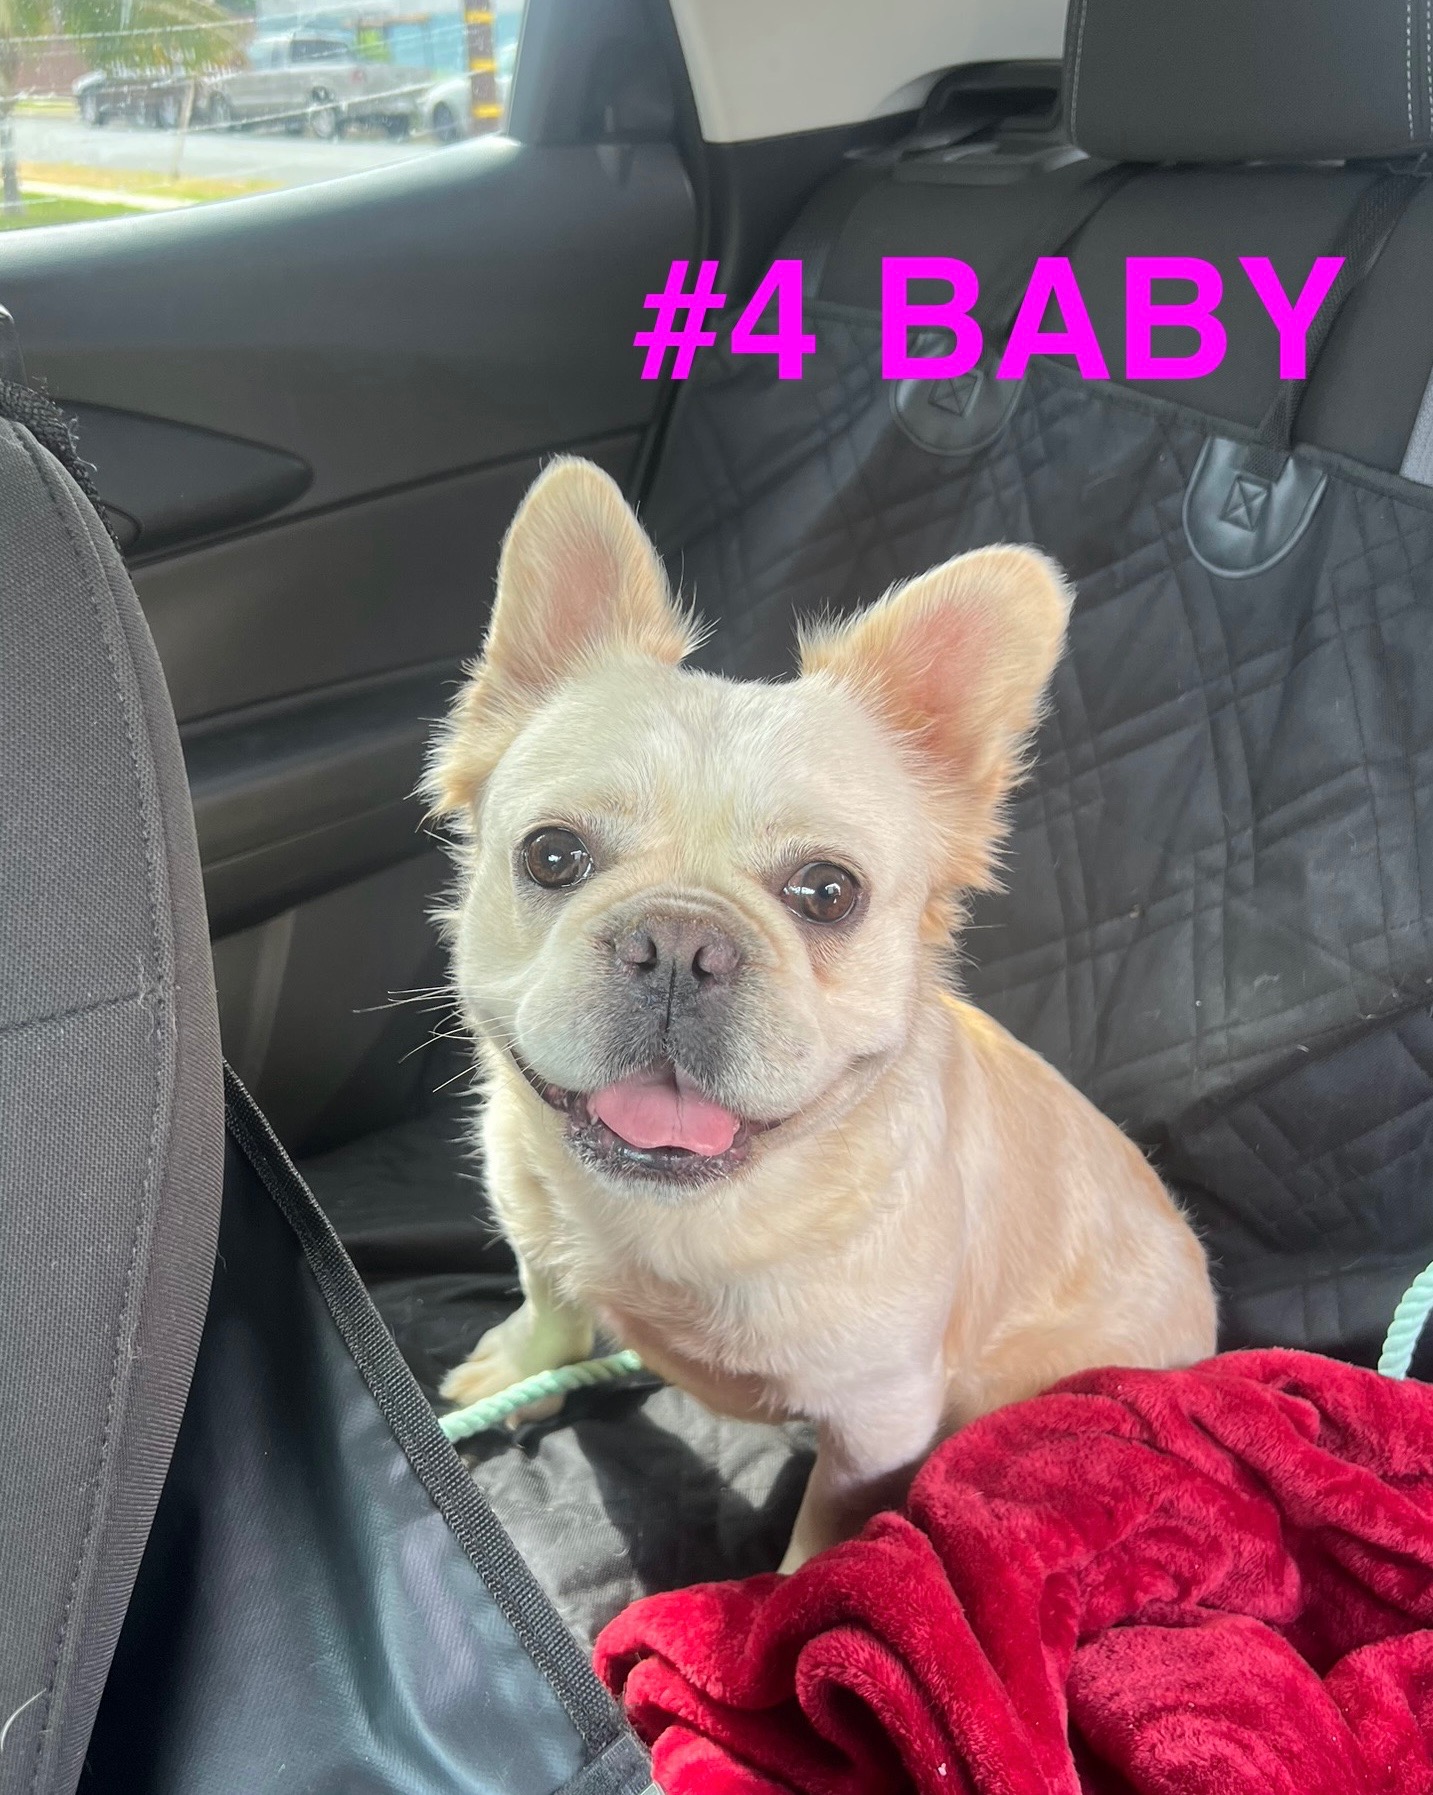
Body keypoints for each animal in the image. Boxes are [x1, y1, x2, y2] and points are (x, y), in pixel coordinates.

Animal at [426, 456, 1217, 1574]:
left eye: (827, 892)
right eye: (550, 855)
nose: (679, 941)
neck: (679, 1215)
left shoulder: (877, 1425)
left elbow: (829, 1536)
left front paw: (795, 1606)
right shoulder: (538, 1233)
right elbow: (549, 1299)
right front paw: (522, 1362)